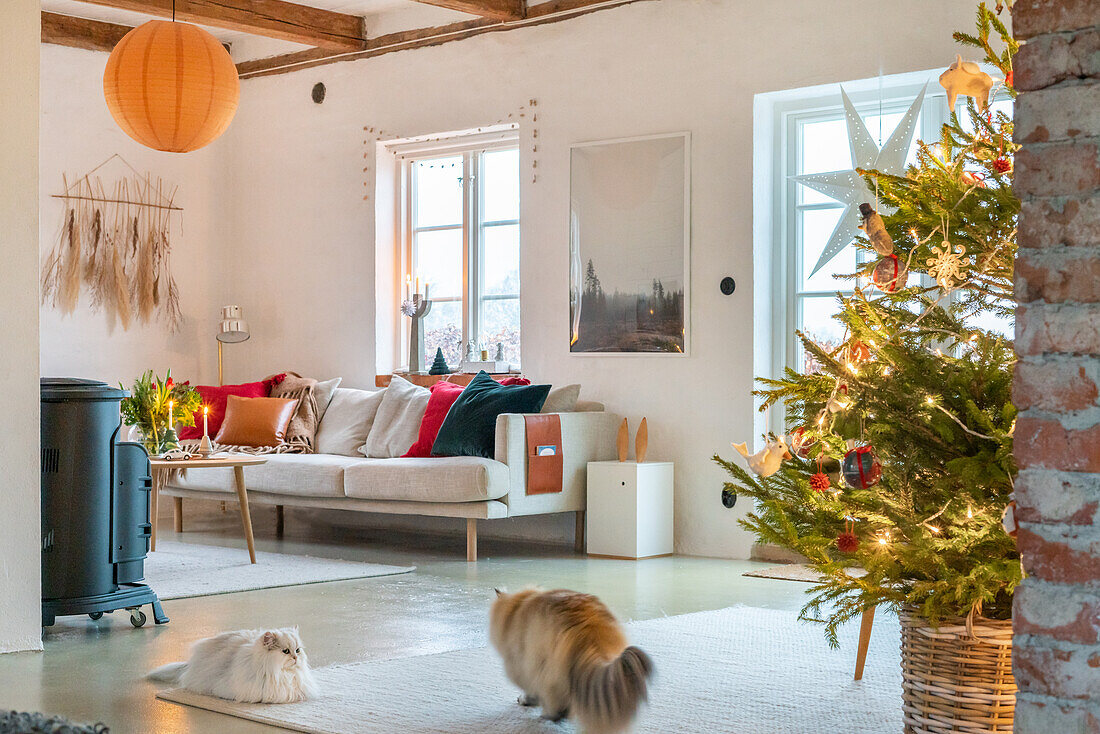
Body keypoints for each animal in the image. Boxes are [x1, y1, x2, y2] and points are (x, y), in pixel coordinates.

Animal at [492, 589, 651, 730]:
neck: (515, 609)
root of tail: (588, 625)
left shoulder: (522, 665)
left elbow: (530, 689)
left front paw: (525, 700)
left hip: (546, 670)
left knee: (552, 700)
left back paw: (549, 716)